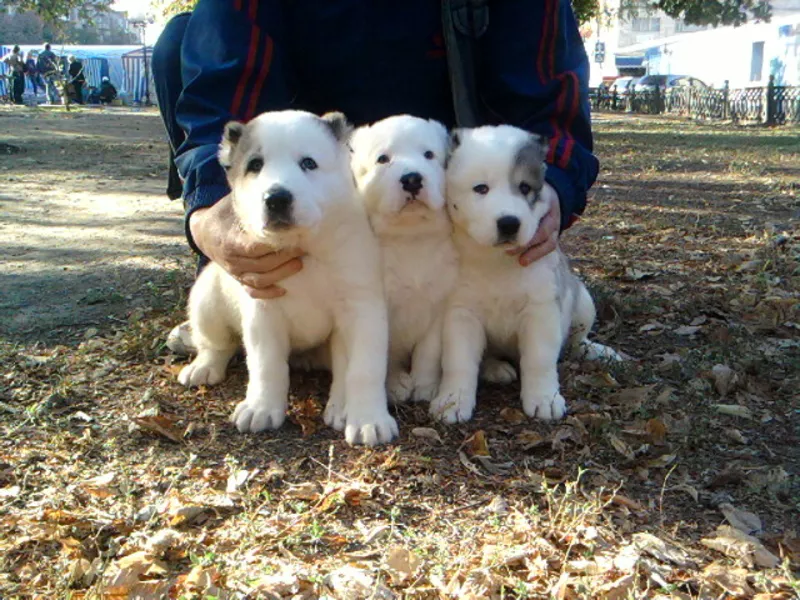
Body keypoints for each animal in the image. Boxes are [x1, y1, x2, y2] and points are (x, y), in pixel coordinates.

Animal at [177, 110, 396, 446]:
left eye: (308, 163)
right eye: (255, 165)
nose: (277, 198)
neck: (304, 248)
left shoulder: (362, 309)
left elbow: (363, 369)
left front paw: (368, 419)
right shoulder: (262, 310)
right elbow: (266, 364)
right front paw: (261, 408)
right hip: (207, 299)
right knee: (216, 342)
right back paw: (204, 367)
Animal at [432, 126, 620, 424]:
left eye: (524, 188)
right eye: (481, 188)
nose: (509, 223)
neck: (496, 262)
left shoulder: (541, 311)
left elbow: (539, 360)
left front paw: (544, 398)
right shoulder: (460, 314)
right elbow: (458, 361)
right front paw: (453, 399)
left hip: (582, 302)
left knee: (576, 339)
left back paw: (595, 351)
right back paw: (495, 368)